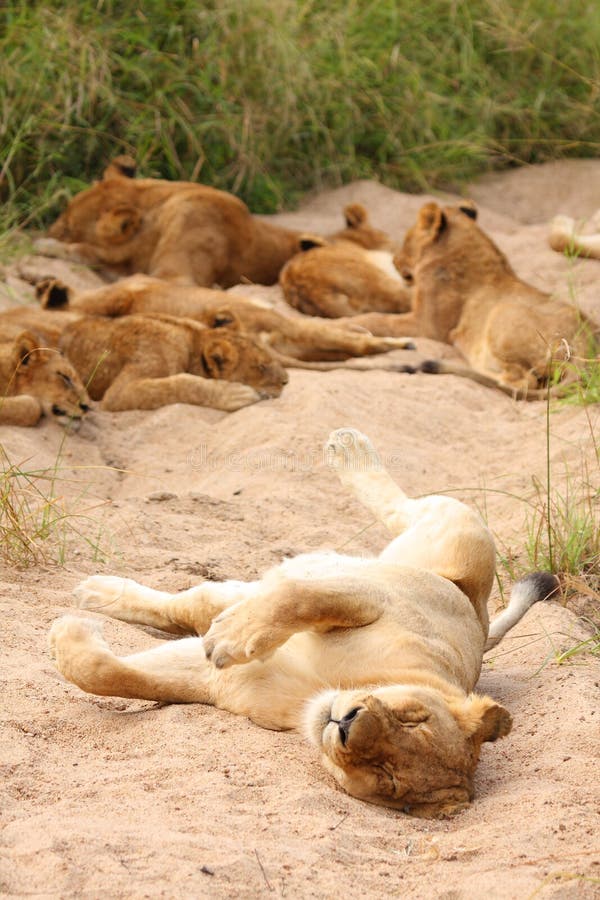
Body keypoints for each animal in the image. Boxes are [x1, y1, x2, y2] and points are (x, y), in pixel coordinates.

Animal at [48, 428, 556, 816]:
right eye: (414, 719)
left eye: (389, 778)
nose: (347, 725)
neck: (318, 690)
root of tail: (481, 614)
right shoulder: (372, 598)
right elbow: (298, 598)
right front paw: (233, 637)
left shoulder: (219, 685)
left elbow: (111, 675)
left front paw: (70, 635)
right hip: (457, 531)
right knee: (401, 506)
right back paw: (348, 447)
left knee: (194, 605)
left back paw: (97, 593)